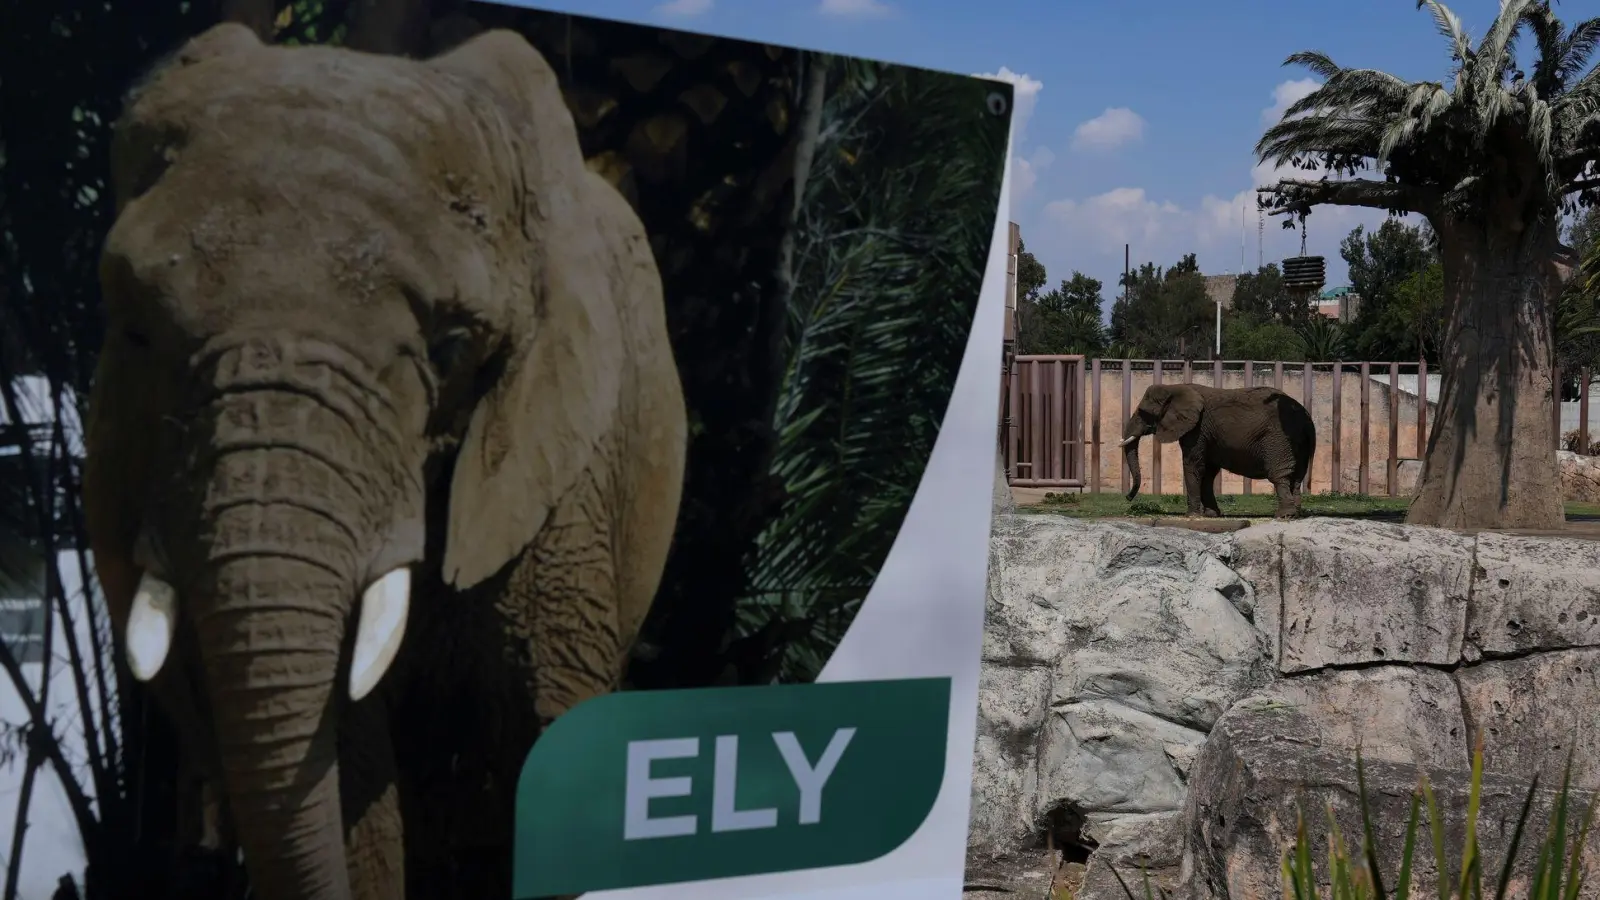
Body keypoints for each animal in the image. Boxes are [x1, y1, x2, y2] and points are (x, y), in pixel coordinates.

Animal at [1126, 379, 1312, 518]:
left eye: (1143, 412)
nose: (1128, 498)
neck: (1175, 387)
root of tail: (1305, 416)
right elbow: (1208, 472)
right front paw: (1211, 515)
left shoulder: (1197, 429)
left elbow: (1193, 465)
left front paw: (1192, 516)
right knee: (1297, 477)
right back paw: (1295, 515)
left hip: (1278, 438)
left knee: (1279, 475)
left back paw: (1283, 515)